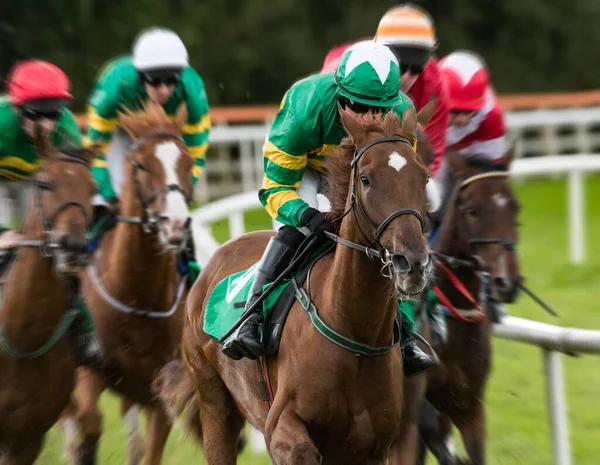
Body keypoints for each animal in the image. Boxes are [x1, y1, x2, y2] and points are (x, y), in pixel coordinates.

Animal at [63, 102, 195, 464]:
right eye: (140, 165)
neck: (138, 298)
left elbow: (151, 451)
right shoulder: (89, 369)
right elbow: (88, 422)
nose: (176, 223)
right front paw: (83, 448)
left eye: (188, 162)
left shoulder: (160, 390)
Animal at [157, 107, 434, 462]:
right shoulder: (280, 428)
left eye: (423, 178)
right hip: (214, 402)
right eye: (366, 179)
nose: (411, 262)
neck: (354, 330)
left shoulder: (374, 446)